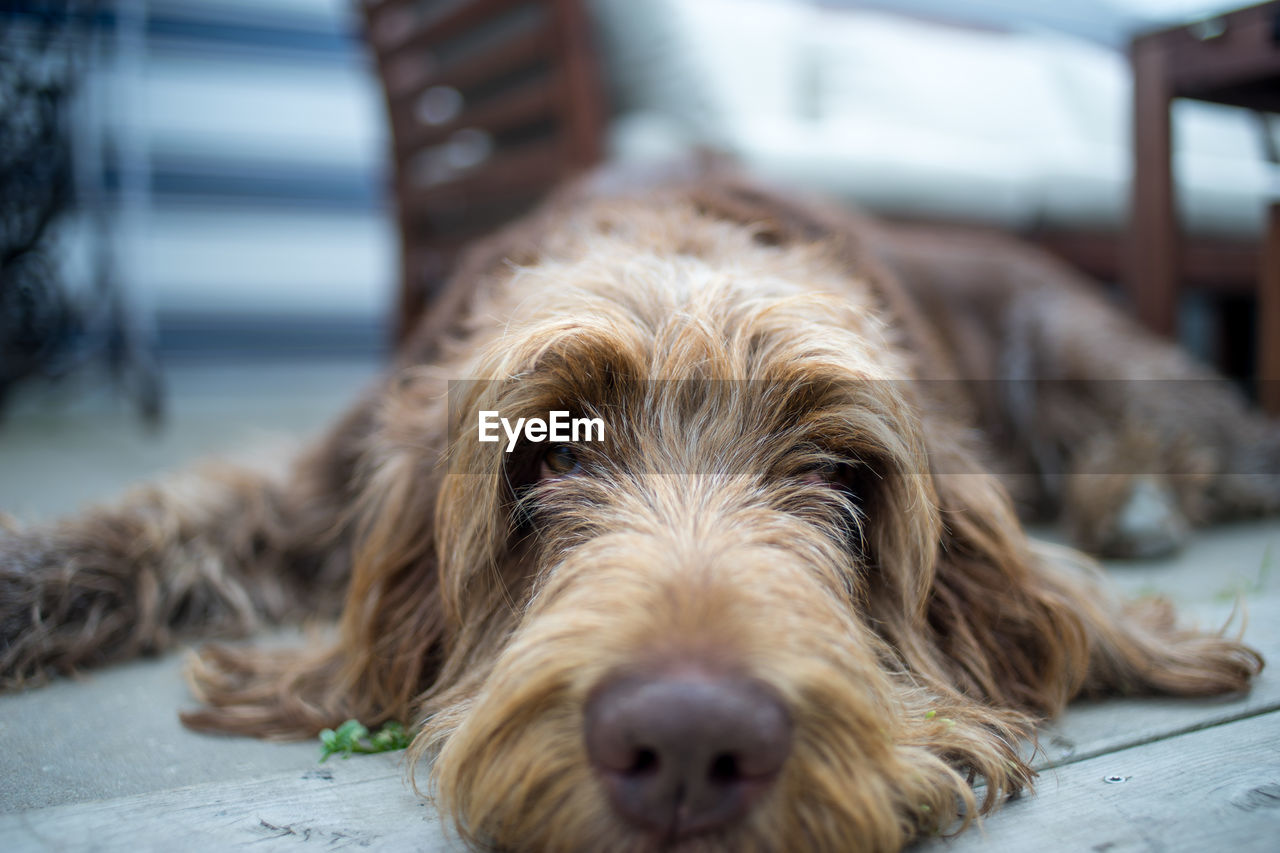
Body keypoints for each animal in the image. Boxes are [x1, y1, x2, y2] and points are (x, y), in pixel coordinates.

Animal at [0, 172, 1269, 850]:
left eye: (834, 473)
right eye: (544, 459)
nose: (691, 743)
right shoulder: (318, 486)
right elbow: (167, 515)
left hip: (1070, 339)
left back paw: (1137, 489)